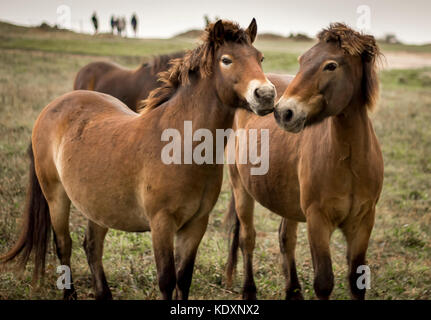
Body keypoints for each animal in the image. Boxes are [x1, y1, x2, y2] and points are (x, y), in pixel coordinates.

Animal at [0, 19, 276, 300]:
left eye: (260, 58)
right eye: (226, 60)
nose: (265, 95)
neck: (181, 144)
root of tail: (52, 107)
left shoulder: (196, 225)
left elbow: (183, 279)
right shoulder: (161, 224)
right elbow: (167, 280)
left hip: (97, 204)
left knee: (92, 246)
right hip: (55, 195)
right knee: (63, 244)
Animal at [228, 22, 384, 300]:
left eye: (331, 65)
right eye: (302, 61)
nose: (283, 112)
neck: (350, 163)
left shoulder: (363, 222)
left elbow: (357, 282)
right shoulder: (317, 221)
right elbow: (324, 282)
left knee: (285, 239)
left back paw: (293, 291)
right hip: (241, 190)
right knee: (248, 239)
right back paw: (249, 291)